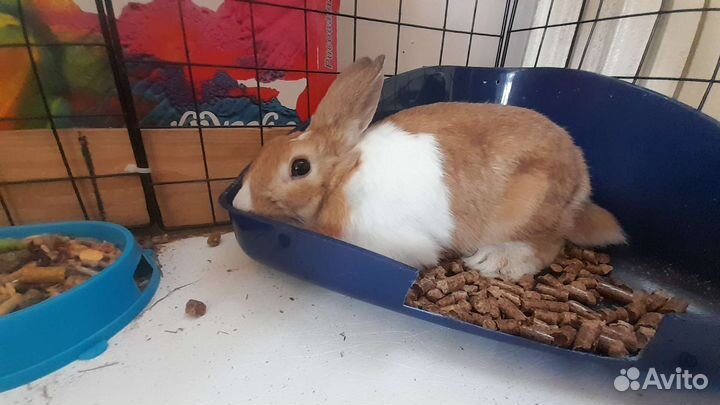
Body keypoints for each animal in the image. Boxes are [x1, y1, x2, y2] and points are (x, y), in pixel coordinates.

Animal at [233, 55, 626, 281]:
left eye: (299, 167)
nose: (239, 203)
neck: (342, 177)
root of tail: (582, 183)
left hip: (531, 209)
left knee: (547, 245)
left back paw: (494, 262)